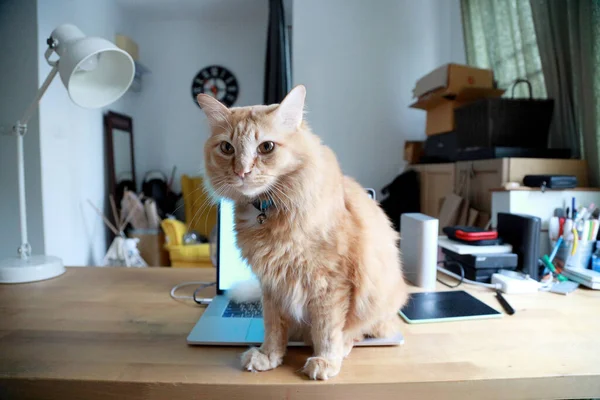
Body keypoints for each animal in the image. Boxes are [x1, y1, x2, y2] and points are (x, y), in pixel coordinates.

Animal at [197, 86, 408, 380]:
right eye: (227, 148)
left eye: (266, 147)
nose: (242, 171)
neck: (268, 213)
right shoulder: (272, 284)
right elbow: (273, 328)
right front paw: (268, 356)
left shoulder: (330, 283)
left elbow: (327, 330)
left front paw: (325, 360)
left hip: (377, 302)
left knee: (362, 331)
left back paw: (343, 347)